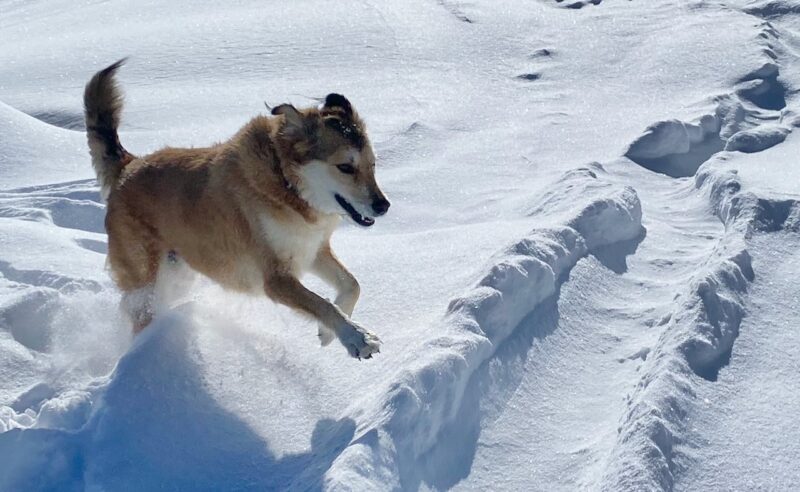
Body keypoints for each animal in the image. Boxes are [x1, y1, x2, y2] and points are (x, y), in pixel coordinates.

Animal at [83, 59, 390, 360]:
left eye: (372, 165)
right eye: (345, 167)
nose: (384, 206)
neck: (285, 184)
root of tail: (128, 166)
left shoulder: (311, 251)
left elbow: (352, 285)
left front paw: (327, 333)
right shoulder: (275, 278)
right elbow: (320, 303)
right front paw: (357, 337)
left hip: (177, 270)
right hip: (146, 278)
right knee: (141, 314)